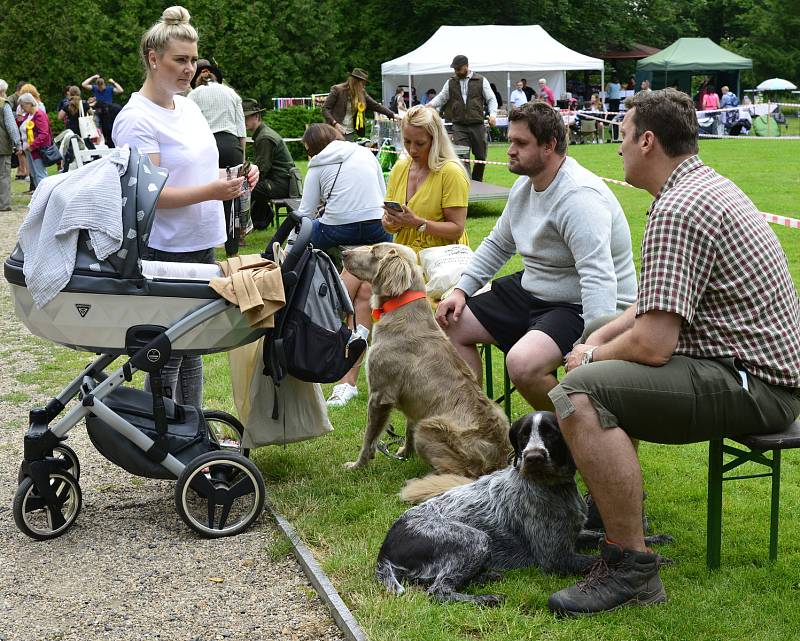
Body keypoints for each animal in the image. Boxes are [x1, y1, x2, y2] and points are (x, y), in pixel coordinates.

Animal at [340, 244, 510, 476]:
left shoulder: (380, 394)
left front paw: (358, 465)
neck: (400, 310)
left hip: (429, 429)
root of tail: (500, 460)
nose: (343, 253)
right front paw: (404, 453)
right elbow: (408, 427)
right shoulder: (413, 397)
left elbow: (370, 437)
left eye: (374, 251)